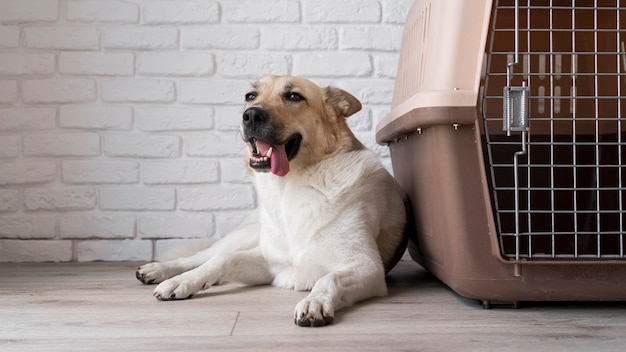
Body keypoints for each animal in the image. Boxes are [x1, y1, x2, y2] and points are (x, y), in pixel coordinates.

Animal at [136, 75, 408, 328]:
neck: (288, 187)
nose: (251, 115)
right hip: (245, 235)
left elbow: (328, 278)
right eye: (250, 96)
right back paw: (161, 271)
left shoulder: (367, 266)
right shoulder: (269, 261)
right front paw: (183, 281)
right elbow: (223, 259)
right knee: (204, 255)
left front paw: (314, 301)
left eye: (294, 96)